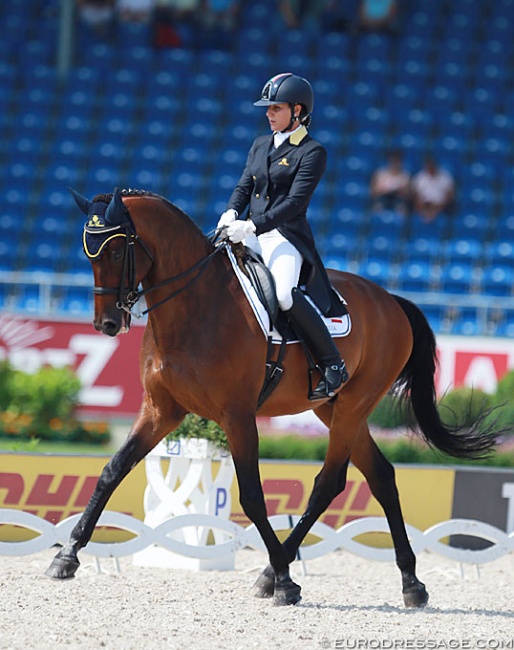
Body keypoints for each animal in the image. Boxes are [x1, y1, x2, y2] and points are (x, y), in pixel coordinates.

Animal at [46, 190, 494, 604]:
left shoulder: (238, 416)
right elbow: (112, 471)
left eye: (117, 248)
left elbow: (253, 497)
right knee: (380, 475)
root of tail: (391, 301)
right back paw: (411, 583)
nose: (106, 323)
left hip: (354, 404)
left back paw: (277, 573)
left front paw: (284, 580)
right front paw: (67, 556)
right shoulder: (161, 410)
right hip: (333, 408)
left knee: (328, 482)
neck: (194, 307)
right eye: (89, 252)